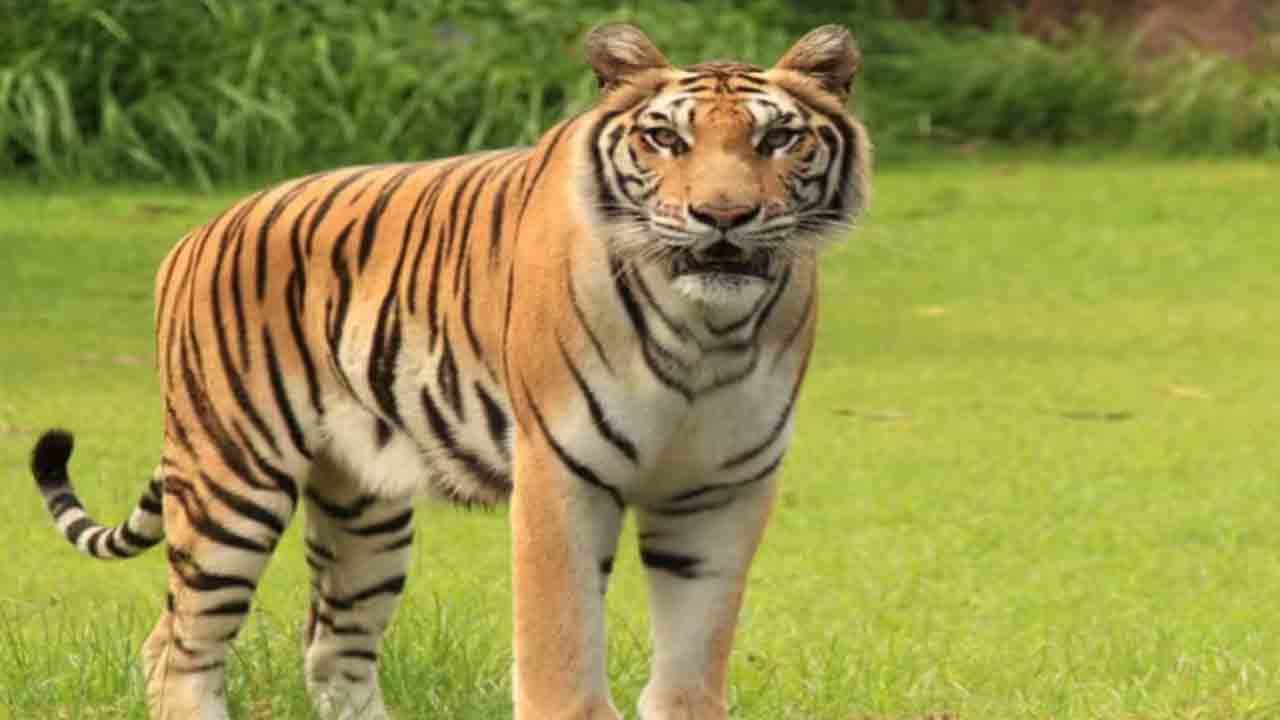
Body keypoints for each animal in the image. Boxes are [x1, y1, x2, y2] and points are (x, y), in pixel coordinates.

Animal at [29, 23, 869, 720]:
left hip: (363, 511)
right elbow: (562, 661)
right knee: (181, 650)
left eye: (778, 139)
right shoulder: (562, 475)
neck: (708, 330)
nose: (723, 218)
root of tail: (197, 233)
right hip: (231, 480)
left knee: (329, 650)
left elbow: (692, 672)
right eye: (665, 138)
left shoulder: (720, 491)